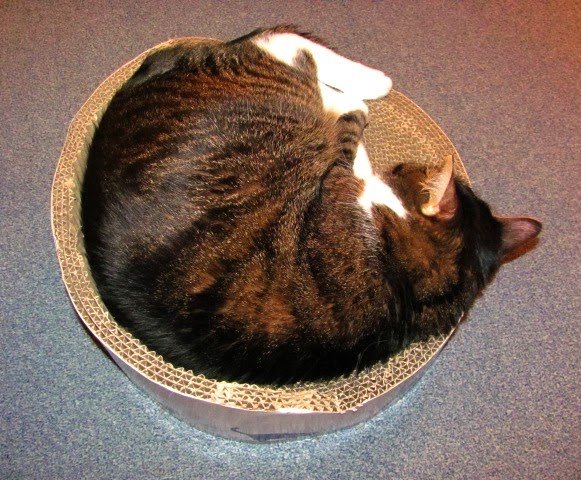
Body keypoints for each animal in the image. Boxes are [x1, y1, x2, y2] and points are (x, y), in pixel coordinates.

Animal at [81, 25, 541, 385]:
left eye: (403, 167)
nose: (398, 166)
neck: (413, 287)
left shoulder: (341, 177)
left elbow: (352, 135)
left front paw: (350, 109)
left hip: (284, 101)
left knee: (288, 52)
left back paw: (361, 84)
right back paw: (368, 83)